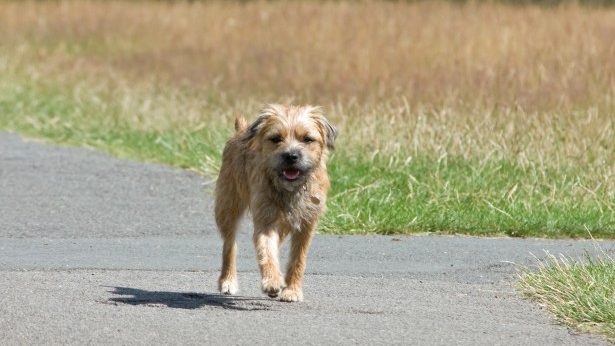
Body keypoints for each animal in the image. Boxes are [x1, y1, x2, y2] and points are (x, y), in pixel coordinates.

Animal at [215, 104, 336, 302]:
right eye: (276, 138)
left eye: (307, 139)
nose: (291, 156)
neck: (290, 189)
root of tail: (241, 130)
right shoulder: (265, 221)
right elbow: (267, 251)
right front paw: (272, 281)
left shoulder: (306, 226)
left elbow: (298, 259)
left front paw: (292, 290)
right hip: (228, 206)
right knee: (229, 245)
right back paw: (228, 281)